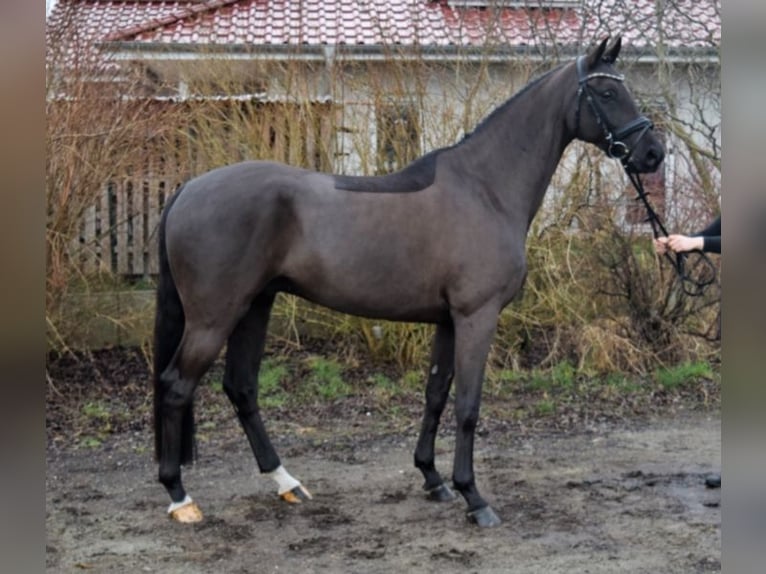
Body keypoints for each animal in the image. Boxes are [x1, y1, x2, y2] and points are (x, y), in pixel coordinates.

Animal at [153, 36, 664, 532]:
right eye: (606, 92)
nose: (653, 153)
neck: (485, 188)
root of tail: (188, 188)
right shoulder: (476, 317)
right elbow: (468, 405)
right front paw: (474, 497)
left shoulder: (447, 321)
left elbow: (436, 395)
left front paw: (433, 479)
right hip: (215, 317)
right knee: (177, 386)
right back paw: (180, 497)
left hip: (255, 306)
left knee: (241, 388)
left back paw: (287, 483)